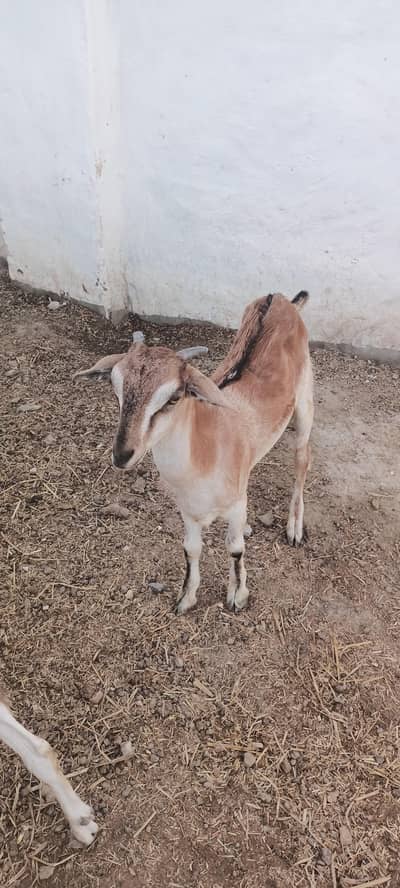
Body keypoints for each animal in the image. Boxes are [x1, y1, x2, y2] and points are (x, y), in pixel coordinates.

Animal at [75, 291, 313, 614]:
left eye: (174, 397)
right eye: (116, 390)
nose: (122, 454)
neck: (206, 453)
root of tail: (280, 299)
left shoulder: (236, 504)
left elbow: (235, 548)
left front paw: (238, 596)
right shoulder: (187, 509)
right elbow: (191, 548)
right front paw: (186, 598)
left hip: (305, 404)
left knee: (302, 461)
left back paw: (294, 529)